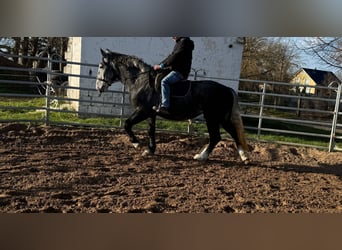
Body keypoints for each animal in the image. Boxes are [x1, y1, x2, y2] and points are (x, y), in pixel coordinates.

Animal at [96, 48, 248, 162]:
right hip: (221, 117)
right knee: (232, 133)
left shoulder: (143, 111)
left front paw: (137, 144)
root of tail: (227, 89)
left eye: (101, 66)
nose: (98, 87)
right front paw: (150, 150)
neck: (140, 80)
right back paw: (244, 156)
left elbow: (127, 124)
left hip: (212, 117)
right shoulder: (151, 113)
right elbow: (150, 130)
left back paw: (201, 156)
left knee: (216, 136)